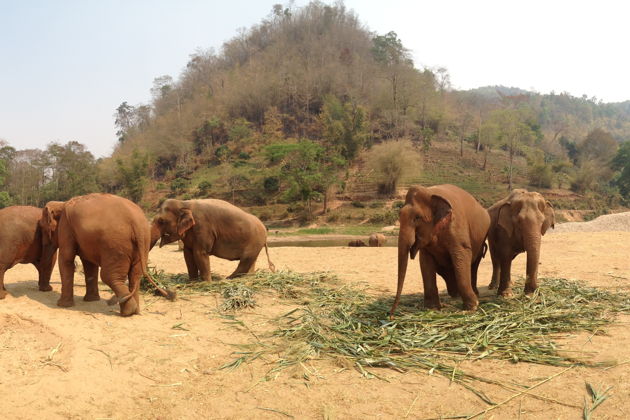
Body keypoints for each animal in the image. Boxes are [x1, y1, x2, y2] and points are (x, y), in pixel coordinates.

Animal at [42, 194, 173, 316]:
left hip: (115, 246)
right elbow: (89, 264)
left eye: (42, 228)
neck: (61, 204)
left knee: (108, 276)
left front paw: (62, 305)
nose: (45, 289)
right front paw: (91, 300)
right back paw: (134, 311)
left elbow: (66, 259)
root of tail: (137, 223)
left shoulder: (66, 227)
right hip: (141, 244)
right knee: (135, 275)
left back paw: (127, 312)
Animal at [392, 184, 492, 316]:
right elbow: (425, 264)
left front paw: (472, 307)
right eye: (399, 215)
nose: (390, 316)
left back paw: (474, 295)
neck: (430, 192)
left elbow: (461, 256)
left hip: (480, 242)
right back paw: (456, 296)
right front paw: (432, 309)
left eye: (417, 217)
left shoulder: (456, 227)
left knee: (474, 265)